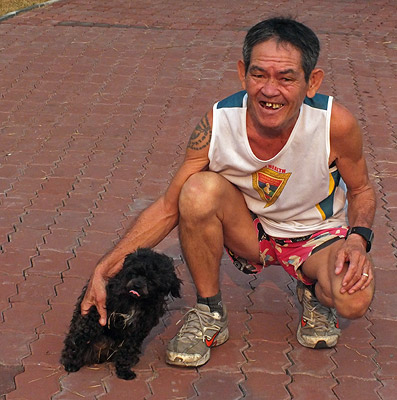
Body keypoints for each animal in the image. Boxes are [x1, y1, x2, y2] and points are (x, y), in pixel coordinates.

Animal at [59, 248, 180, 380]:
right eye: (135, 273)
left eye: (151, 281)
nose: (137, 285)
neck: (134, 301)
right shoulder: (98, 311)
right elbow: (82, 335)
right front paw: (72, 358)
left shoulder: (138, 330)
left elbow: (128, 350)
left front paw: (124, 370)